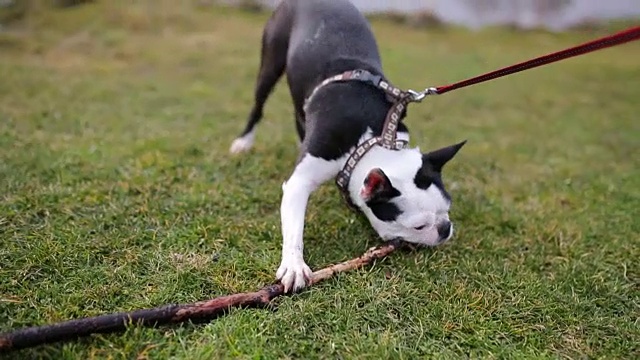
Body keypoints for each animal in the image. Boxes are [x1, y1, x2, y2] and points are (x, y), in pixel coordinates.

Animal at [229, 0, 464, 292]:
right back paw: (243, 142)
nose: (444, 229)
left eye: (447, 209)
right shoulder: (300, 181)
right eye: (418, 227)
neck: (368, 142)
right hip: (270, 63)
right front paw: (294, 266)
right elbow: (294, 227)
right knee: (258, 105)